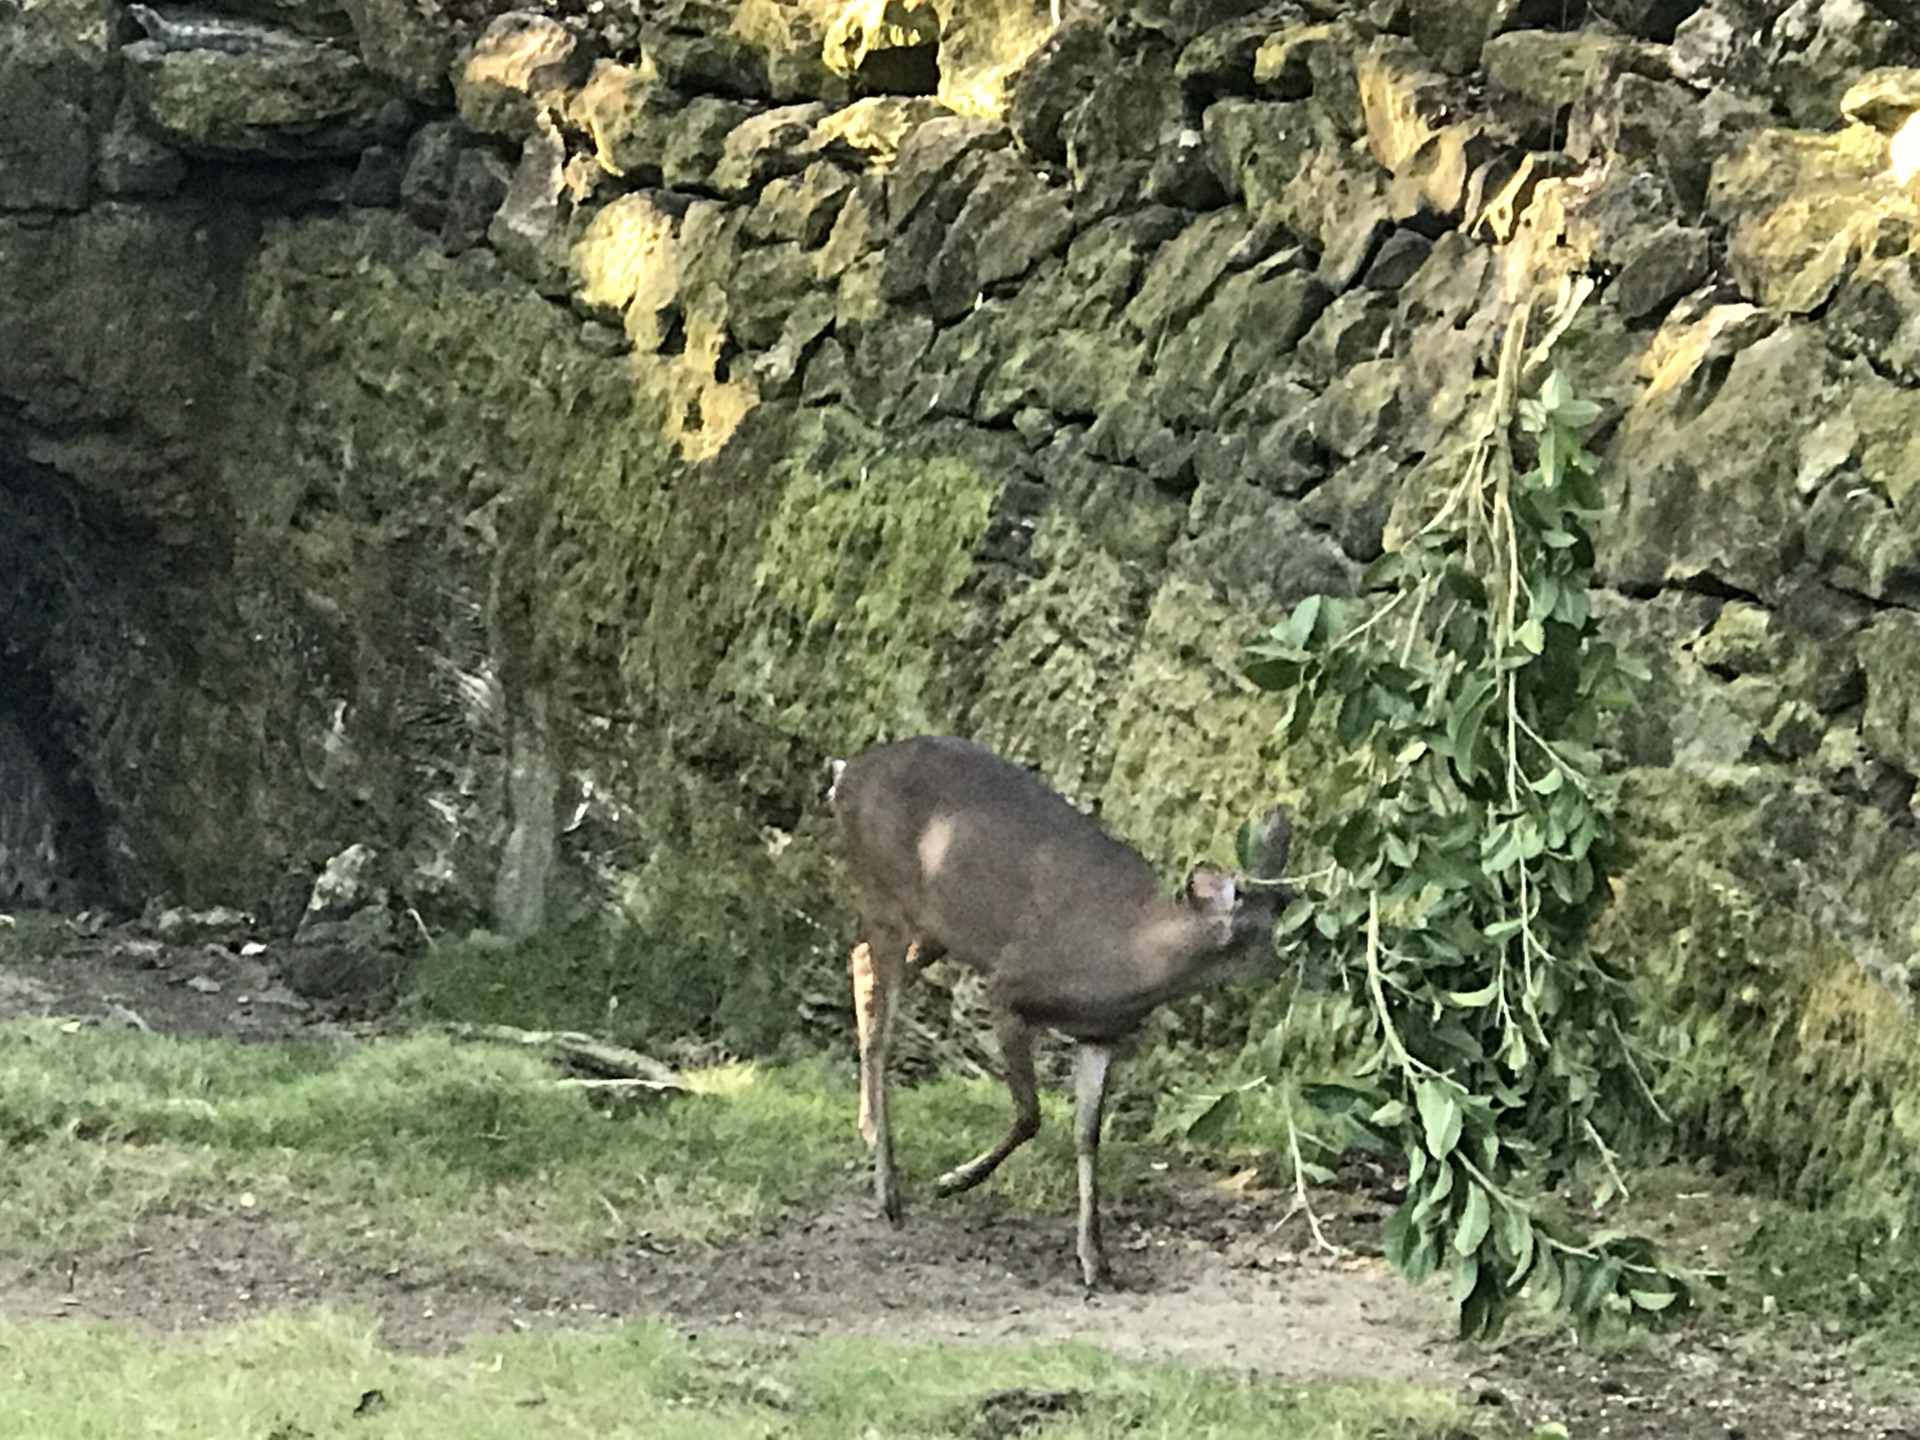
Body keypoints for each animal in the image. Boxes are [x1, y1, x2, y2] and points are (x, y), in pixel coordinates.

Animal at [825, 737, 1290, 1290]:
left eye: (1281, 911)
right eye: (1253, 933)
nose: (1288, 965)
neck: (1122, 955)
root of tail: (846, 771)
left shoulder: (1102, 1037)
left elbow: (1087, 1134)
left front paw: (1095, 1259)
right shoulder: (1007, 988)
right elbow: (1030, 1114)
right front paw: (954, 1180)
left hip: (936, 927)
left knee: (859, 961)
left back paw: (870, 1129)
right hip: (885, 897)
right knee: (882, 1032)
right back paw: (889, 1195)